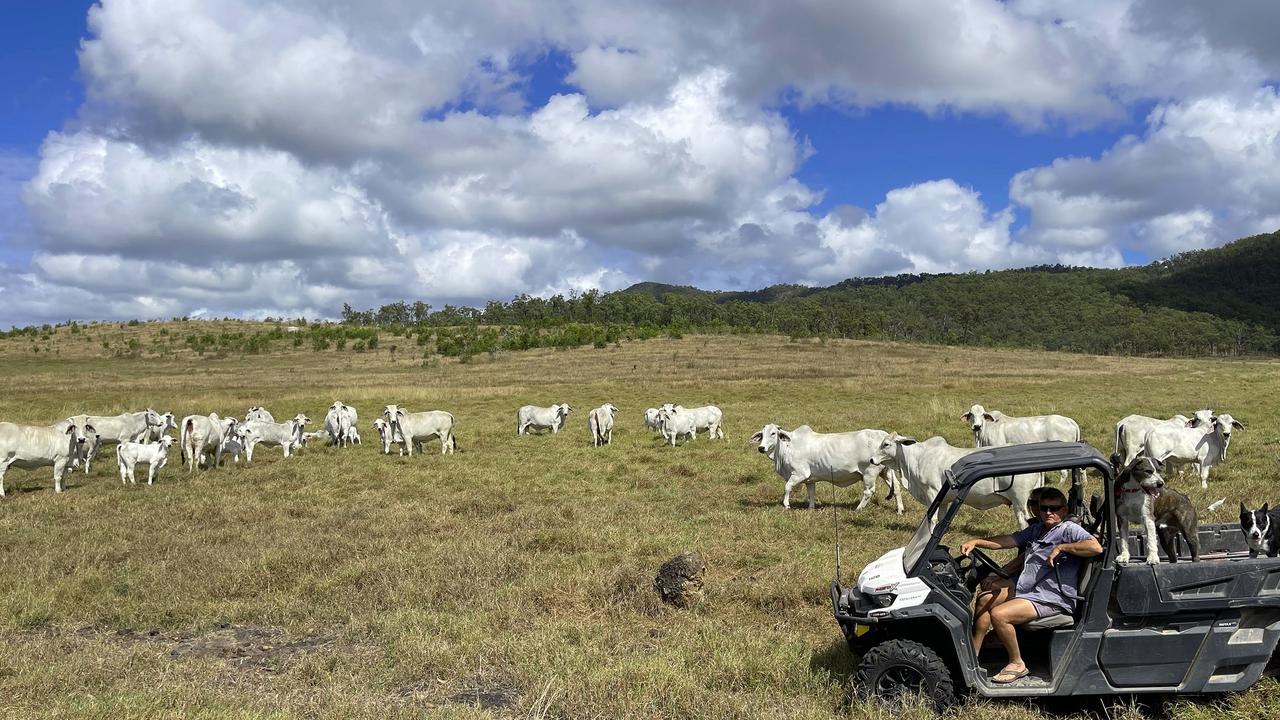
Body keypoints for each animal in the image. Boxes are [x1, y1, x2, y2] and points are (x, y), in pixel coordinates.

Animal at [747, 422, 901, 512]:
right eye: (761, 435)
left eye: (773, 433)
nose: (761, 448)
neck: (787, 446)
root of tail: (884, 435)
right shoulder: (810, 479)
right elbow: (811, 493)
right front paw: (811, 509)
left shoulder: (800, 473)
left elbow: (787, 487)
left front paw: (786, 505)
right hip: (885, 471)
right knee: (897, 487)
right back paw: (899, 510)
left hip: (870, 472)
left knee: (869, 492)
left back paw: (858, 509)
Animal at [870, 430, 1039, 527]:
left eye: (886, 444)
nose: (871, 459)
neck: (918, 457)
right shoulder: (944, 499)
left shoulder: (932, 493)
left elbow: (932, 518)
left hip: (1019, 501)